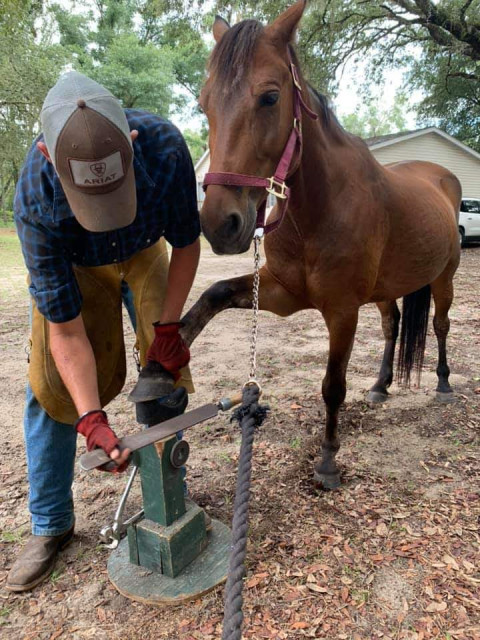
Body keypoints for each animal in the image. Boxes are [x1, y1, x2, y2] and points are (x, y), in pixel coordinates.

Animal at [180, 1, 462, 490]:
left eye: (270, 97)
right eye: (204, 103)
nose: (219, 224)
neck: (319, 209)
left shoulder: (342, 311)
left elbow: (333, 386)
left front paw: (328, 459)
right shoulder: (280, 293)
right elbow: (213, 294)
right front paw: (161, 362)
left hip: (443, 279)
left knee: (441, 326)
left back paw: (443, 384)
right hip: (386, 291)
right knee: (392, 327)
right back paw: (381, 385)